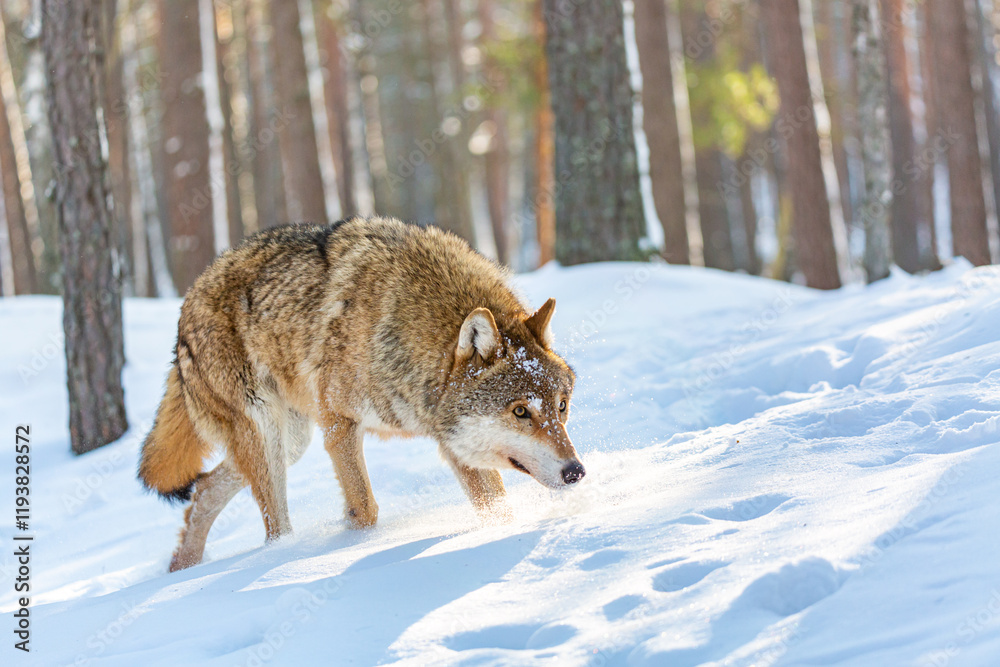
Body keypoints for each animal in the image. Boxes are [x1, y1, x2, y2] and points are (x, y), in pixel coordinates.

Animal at [138, 216, 585, 571]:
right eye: (521, 411)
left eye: (561, 407)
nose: (576, 472)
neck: (404, 331)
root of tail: (189, 297)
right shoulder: (339, 423)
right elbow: (365, 509)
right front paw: (353, 546)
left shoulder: (450, 442)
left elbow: (497, 509)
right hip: (267, 435)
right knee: (272, 527)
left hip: (289, 443)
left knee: (204, 489)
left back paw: (182, 569)